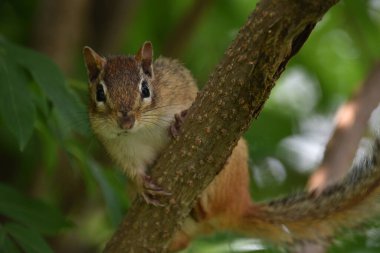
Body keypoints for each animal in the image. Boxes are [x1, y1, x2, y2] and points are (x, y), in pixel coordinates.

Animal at [84, 41, 380, 251]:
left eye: (145, 89)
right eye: (99, 93)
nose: (126, 120)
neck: (141, 130)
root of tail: (239, 206)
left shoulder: (180, 83)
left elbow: (190, 99)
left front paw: (178, 121)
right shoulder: (118, 147)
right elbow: (131, 168)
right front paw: (143, 184)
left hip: (230, 159)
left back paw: (201, 204)